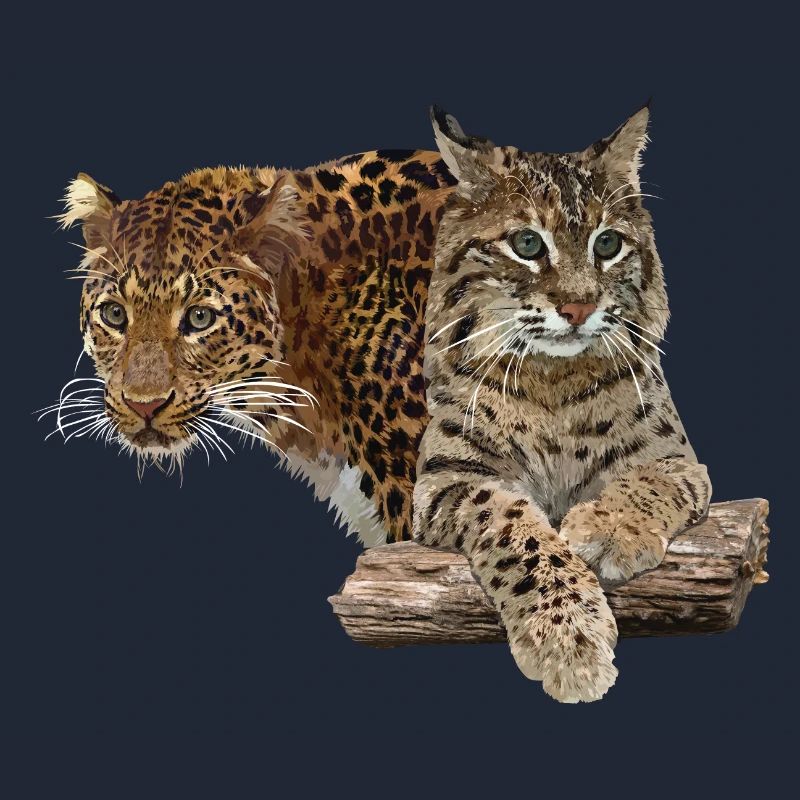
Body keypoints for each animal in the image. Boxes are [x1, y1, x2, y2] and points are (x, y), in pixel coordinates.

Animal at [413, 105, 712, 702]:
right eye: (528, 245)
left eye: (607, 245)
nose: (579, 308)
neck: (553, 378)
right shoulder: (445, 479)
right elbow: (513, 527)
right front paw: (568, 640)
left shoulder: (679, 461)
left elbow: (649, 481)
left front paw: (611, 528)